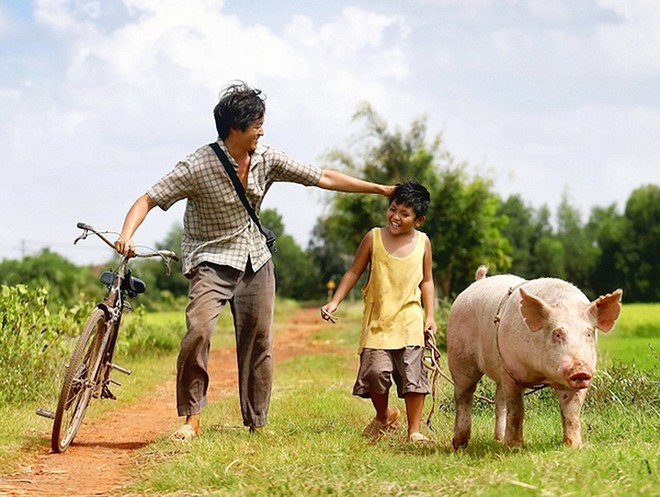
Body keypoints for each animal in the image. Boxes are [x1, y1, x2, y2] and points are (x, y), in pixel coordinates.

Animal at [446, 266, 620, 448]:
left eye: (588, 334)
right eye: (557, 334)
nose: (580, 369)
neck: (541, 374)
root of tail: (478, 281)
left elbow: (571, 412)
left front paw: (574, 446)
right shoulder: (512, 373)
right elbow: (517, 410)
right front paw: (514, 447)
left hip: (499, 369)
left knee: (499, 400)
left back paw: (498, 439)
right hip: (460, 358)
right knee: (464, 396)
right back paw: (460, 445)